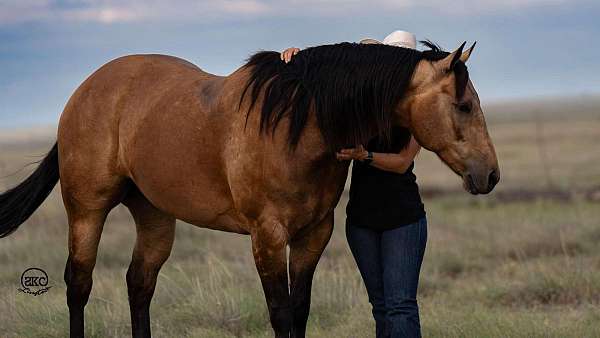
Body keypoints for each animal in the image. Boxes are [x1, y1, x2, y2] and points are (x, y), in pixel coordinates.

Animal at [0, 41, 496, 336]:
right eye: (464, 104)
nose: (490, 175)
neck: (297, 125)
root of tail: (85, 91)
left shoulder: (314, 234)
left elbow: (300, 309)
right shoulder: (268, 237)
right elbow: (279, 312)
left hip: (154, 215)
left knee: (139, 284)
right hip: (87, 210)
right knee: (78, 284)